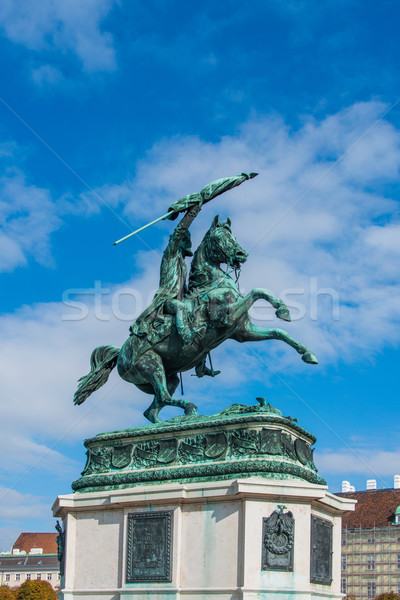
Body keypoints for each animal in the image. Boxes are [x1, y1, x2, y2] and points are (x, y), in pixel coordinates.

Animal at [75, 216, 318, 422]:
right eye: (220, 238)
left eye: (233, 236)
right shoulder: (226, 318)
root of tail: (120, 354)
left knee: (152, 410)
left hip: (169, 377)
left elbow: (279, 332)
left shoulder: (242, 332)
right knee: (162, 398)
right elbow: (258, 291)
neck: (213, 283)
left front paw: (307, 352)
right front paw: (282, 309)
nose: (241, 255)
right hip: (152, 366)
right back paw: (190, 410)